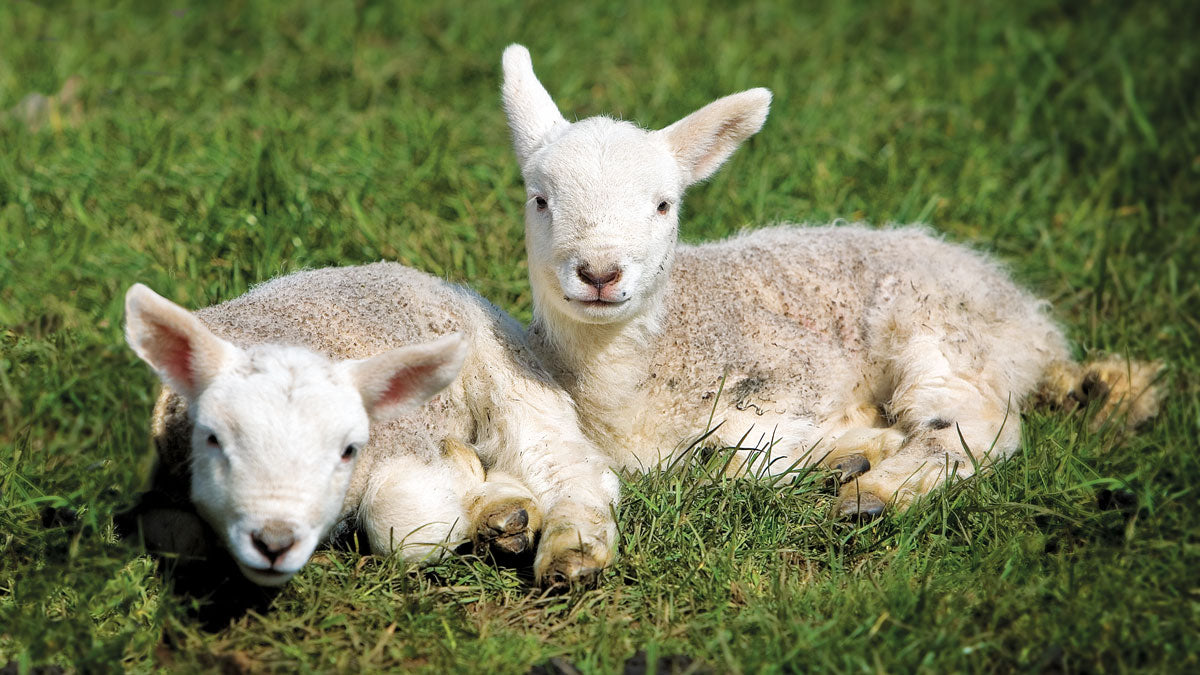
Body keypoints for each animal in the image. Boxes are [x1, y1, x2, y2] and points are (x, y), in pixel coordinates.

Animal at [124, 261, 619, 587]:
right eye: (214, 440)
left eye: (345, 449)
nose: (274, 540)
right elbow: (176, 536)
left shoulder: (407, 441)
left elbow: (404, 523)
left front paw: (461, 476)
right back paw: (503, 514)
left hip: (506, 370)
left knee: (564, 465)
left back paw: (570, 553)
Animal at [498, 44, 1164, 573]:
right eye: (540, 200)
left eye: (664, 205)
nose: (599, 273)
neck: (632, 382)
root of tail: (1031, 320)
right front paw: (849, 448)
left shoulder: (802, 366)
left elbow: (735, 462)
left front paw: (844, 452)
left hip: (941, 330)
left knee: (974, 426)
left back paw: (877, 492)